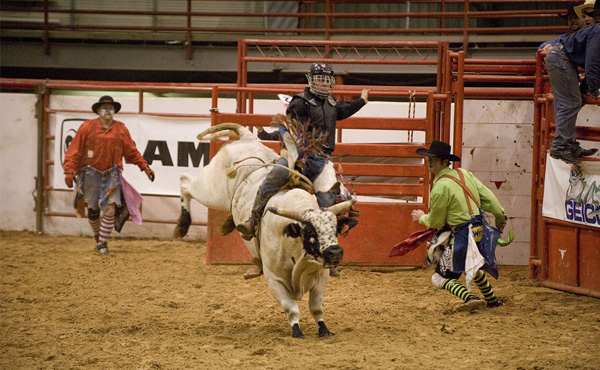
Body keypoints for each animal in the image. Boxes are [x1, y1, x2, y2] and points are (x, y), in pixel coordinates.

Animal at [176, 123, 358, 336]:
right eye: (310, 232)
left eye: (335, 228)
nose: (335, 252)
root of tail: (246, 137)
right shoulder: (274, 280)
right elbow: (291, 308)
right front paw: (297, 330)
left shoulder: (322, 276)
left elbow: (316, 307)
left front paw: (324, 328)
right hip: (211, 191)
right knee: (185, 181)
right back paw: (182, 225)